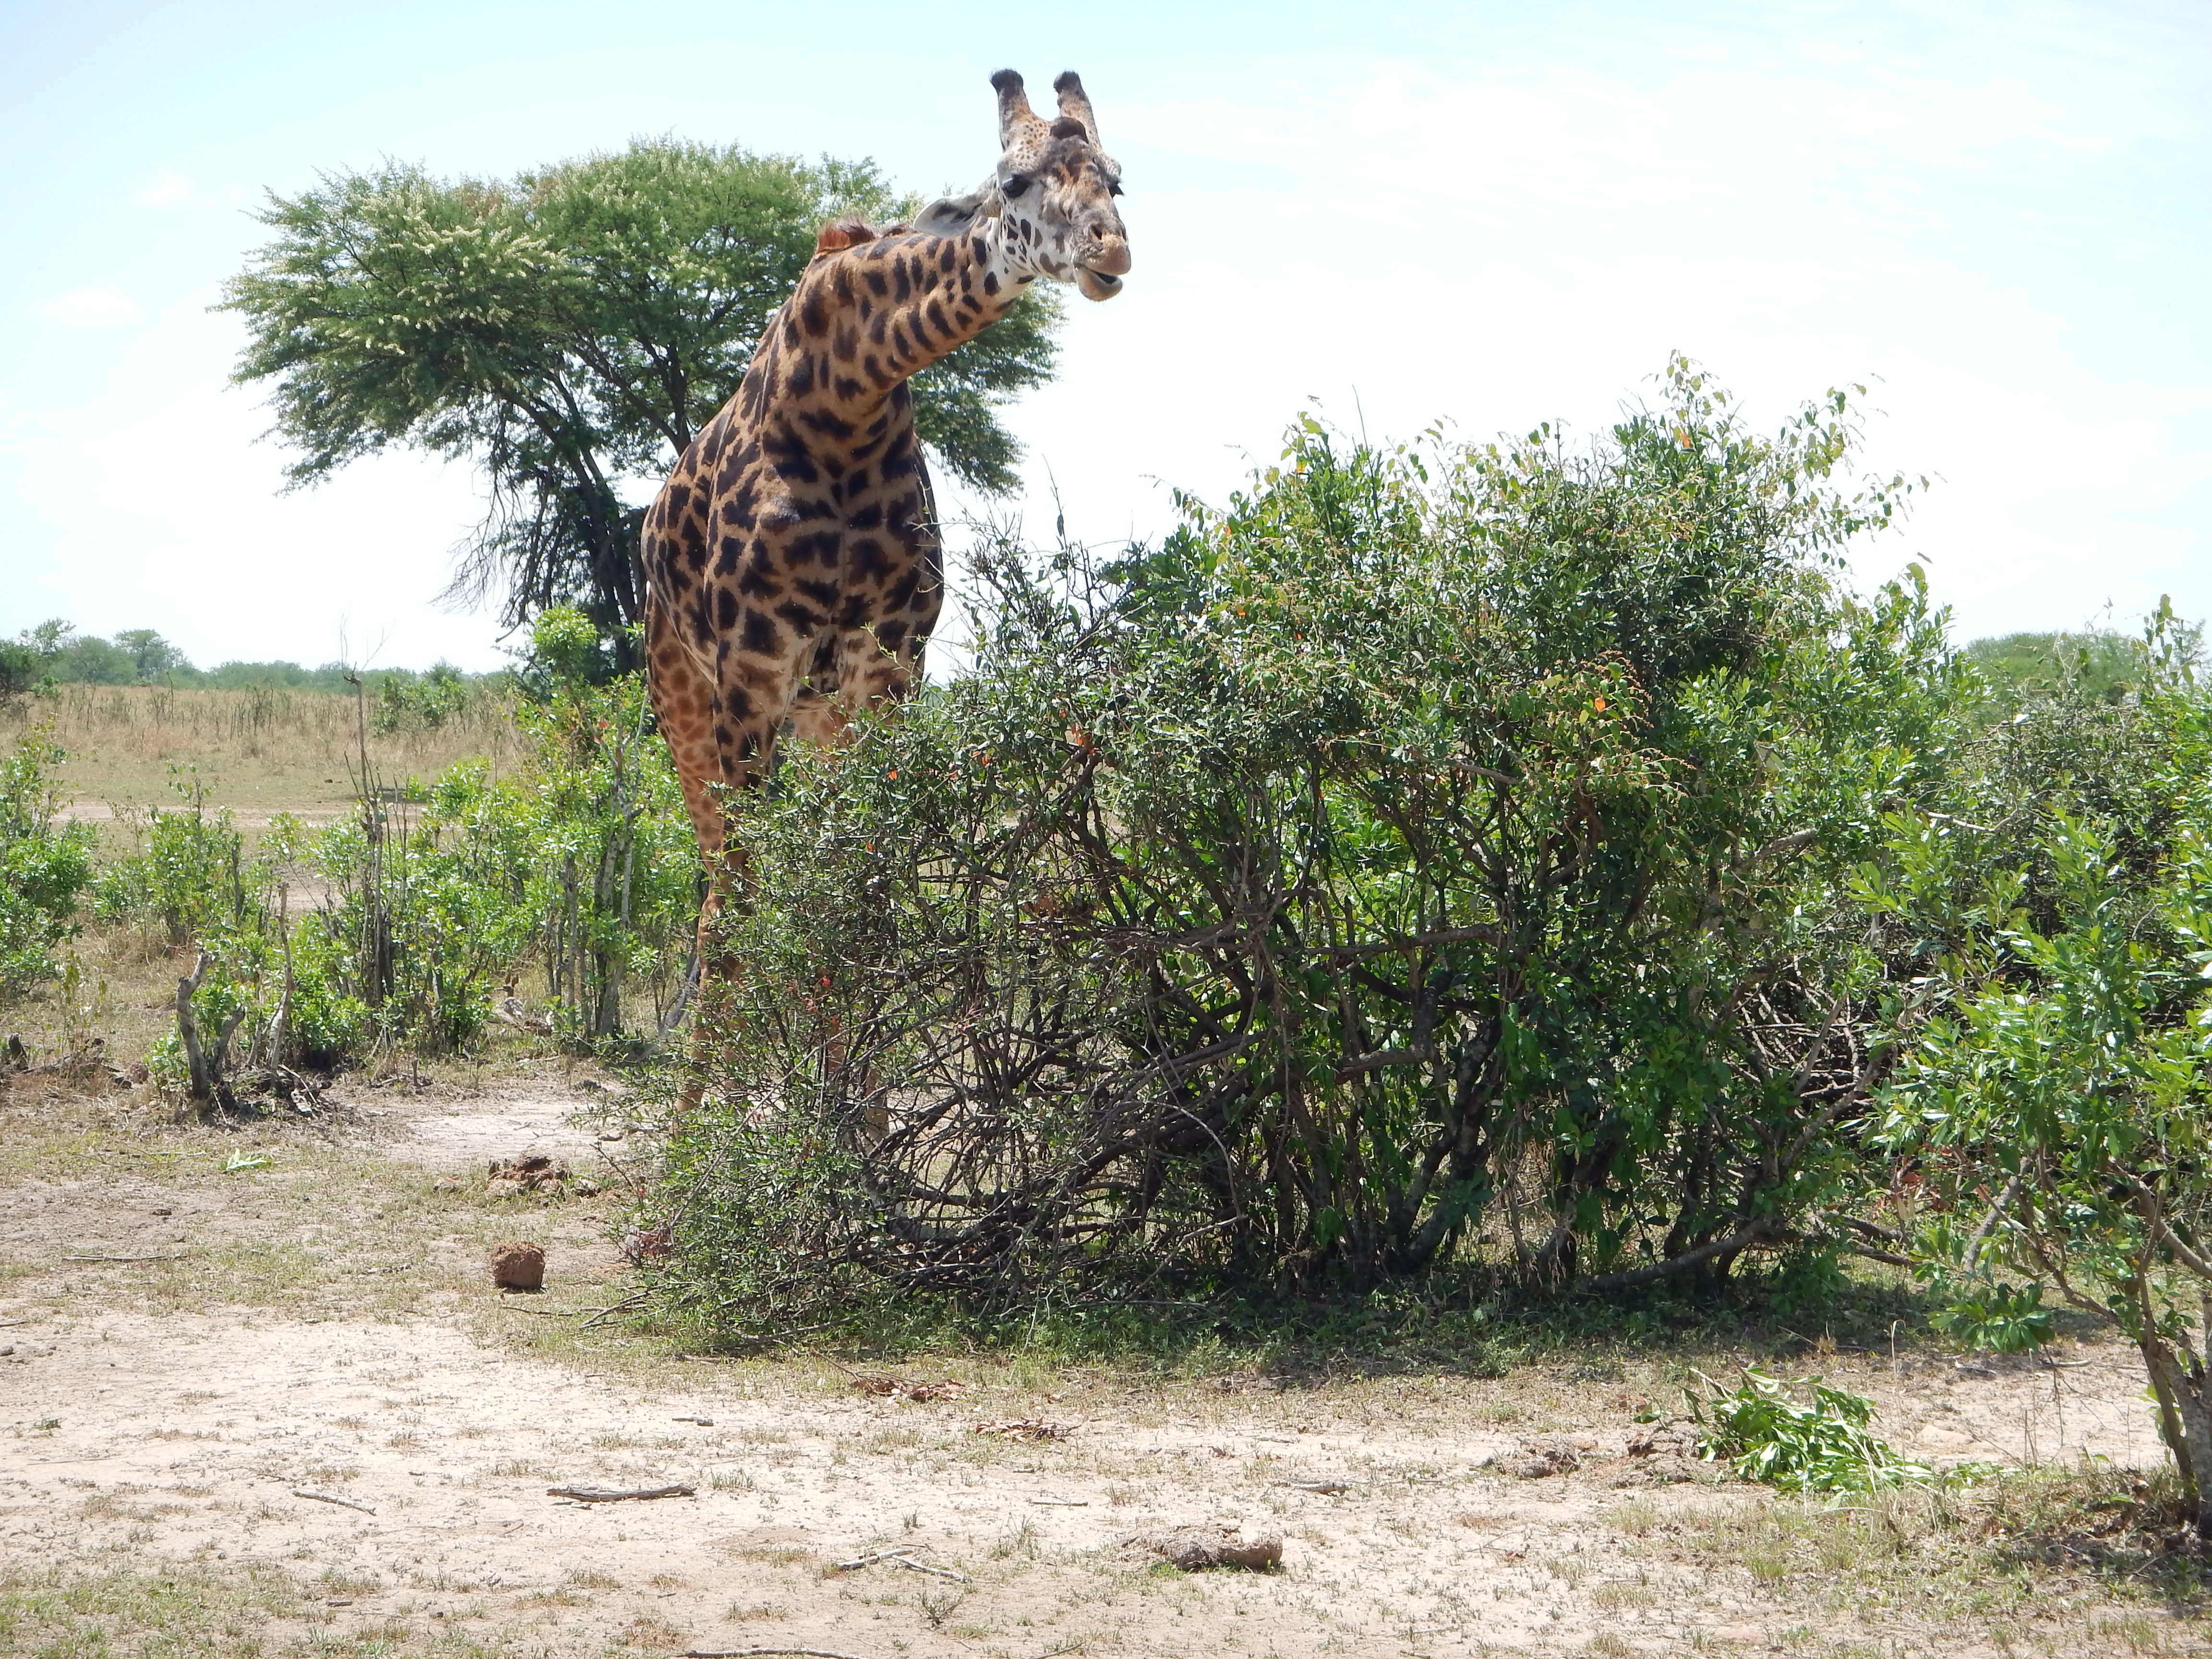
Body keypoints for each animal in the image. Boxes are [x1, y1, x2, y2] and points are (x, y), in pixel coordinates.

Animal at [641, 69, 1130, 948]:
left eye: (1118, 180)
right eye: (1014, 182)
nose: (1110, 250)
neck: (846, 400)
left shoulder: (893, 662)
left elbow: (866, 874)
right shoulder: (753, 667)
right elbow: (753, 902)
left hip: (817, 712)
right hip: (682, 697)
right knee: (715, 888)